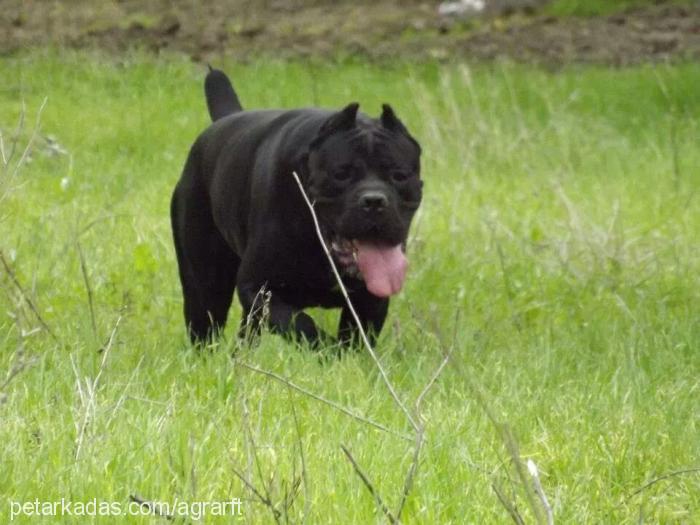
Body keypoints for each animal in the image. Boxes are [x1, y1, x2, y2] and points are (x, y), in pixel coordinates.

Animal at [171, 67, 422, 346]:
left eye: (399, 176)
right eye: (341, 174)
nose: (375, 201)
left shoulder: (371, 299)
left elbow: (355, 337)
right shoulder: (258, 287)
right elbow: (301, 324)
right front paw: (329, 349)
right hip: (205, 284)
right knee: (205, 325)